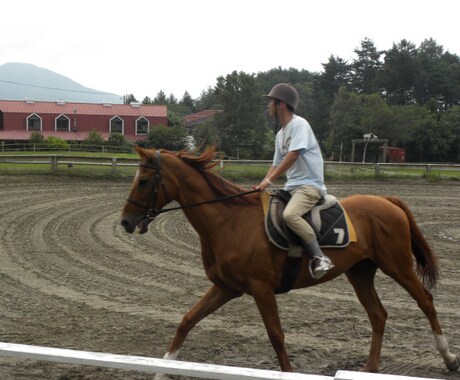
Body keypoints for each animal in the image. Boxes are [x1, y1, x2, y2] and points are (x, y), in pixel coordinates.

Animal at [120, 147, 458, 376]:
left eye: (144, 180)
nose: (125, 222)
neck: (229, 221)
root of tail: (387, 200)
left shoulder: (261, 289)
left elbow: (277, 336)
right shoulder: (226, 287)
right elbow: (187, 320)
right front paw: (162, 368)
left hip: (398, 266)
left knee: (426, 302)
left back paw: (449, 358)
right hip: (360, 272)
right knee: (378, 314)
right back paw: (371, 367)